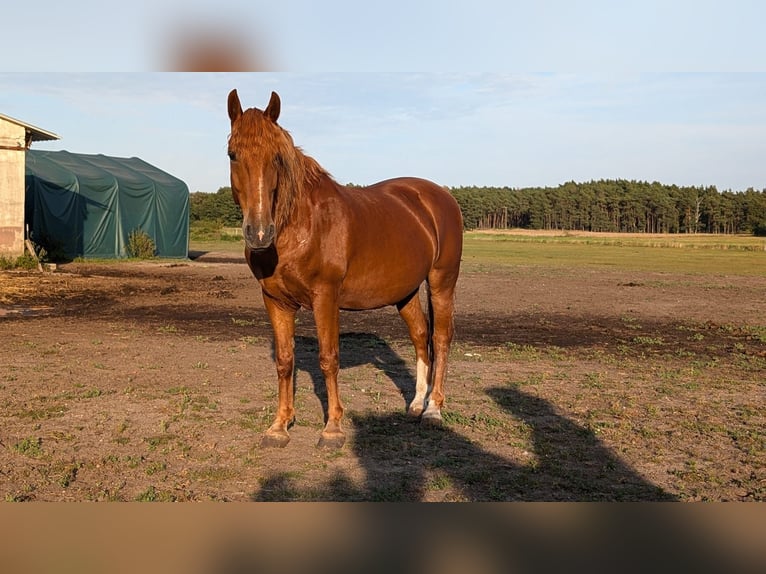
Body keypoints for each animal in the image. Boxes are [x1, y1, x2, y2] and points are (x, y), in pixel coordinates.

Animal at [228, 90, 464, 450]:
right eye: (232, 155)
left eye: (277, 159)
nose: (258, 233)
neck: (301, 225)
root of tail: (438, 196)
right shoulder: (275, 300)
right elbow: (285, 361)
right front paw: (279, 426)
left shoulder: (326, 297)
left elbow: (329, 358)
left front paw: (333, 428)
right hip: (406, 291)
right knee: (421, 336)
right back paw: (415, 405)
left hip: (442, 281)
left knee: (440, 336)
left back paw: (433, 409)